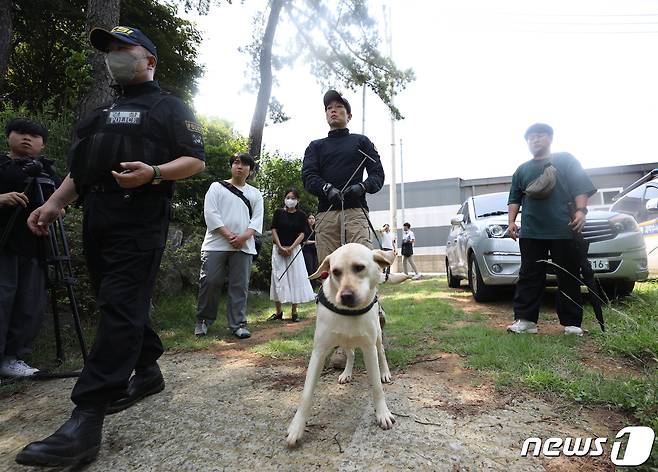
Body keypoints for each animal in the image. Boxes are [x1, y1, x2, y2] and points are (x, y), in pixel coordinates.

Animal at [286, 243, 404, 446]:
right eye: (335, 272)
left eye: (359, 267)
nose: (346, 296)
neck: (349, 313)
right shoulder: (319, 352)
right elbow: (306, 394)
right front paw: (297, 427)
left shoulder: (369, 349)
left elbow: (377, 388)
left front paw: (383, 413)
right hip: (345, 341)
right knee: (351, 354)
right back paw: (346, 373)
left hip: (377, 335)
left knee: (381, 352)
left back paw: (385, 372)